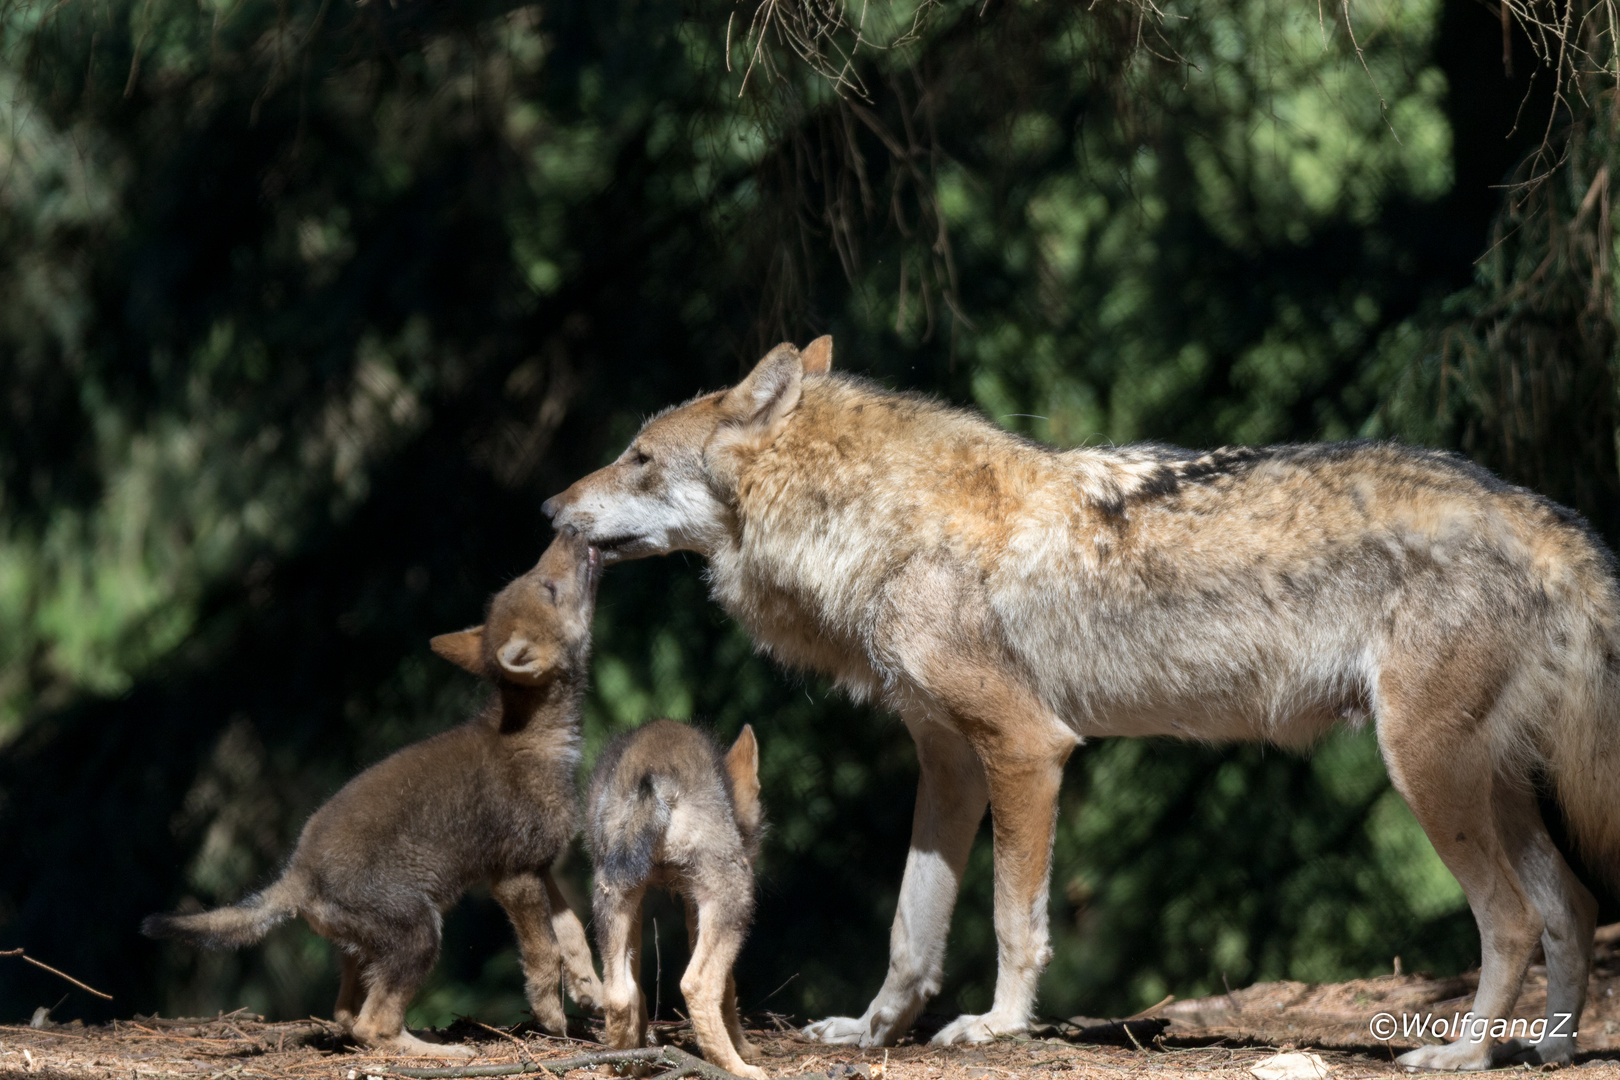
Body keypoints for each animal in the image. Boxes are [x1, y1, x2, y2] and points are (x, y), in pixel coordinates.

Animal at [140, 531, 602, 1055]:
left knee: (347, 1014)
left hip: (363, 948)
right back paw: (440, 1051)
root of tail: (296, 876)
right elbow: (544, 953)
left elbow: (573, 935)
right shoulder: (513, 876)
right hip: (420, 932)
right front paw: (552, 1019)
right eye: (548, 587)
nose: (571, 532)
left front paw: (592, 992)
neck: (537, 739)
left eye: (538, 577)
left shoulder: (540, 868)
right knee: (372, 1024)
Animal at [589, 718, 764, 1080]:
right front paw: (745, 1049)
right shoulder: (700, 904)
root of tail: (654, 775)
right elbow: (729, 988)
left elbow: (637, 989)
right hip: (736, 897)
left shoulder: (647, 901)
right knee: (697, 985)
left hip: (612, 895)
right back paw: (737, 1068)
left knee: (617, 994)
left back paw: (623, 1065)